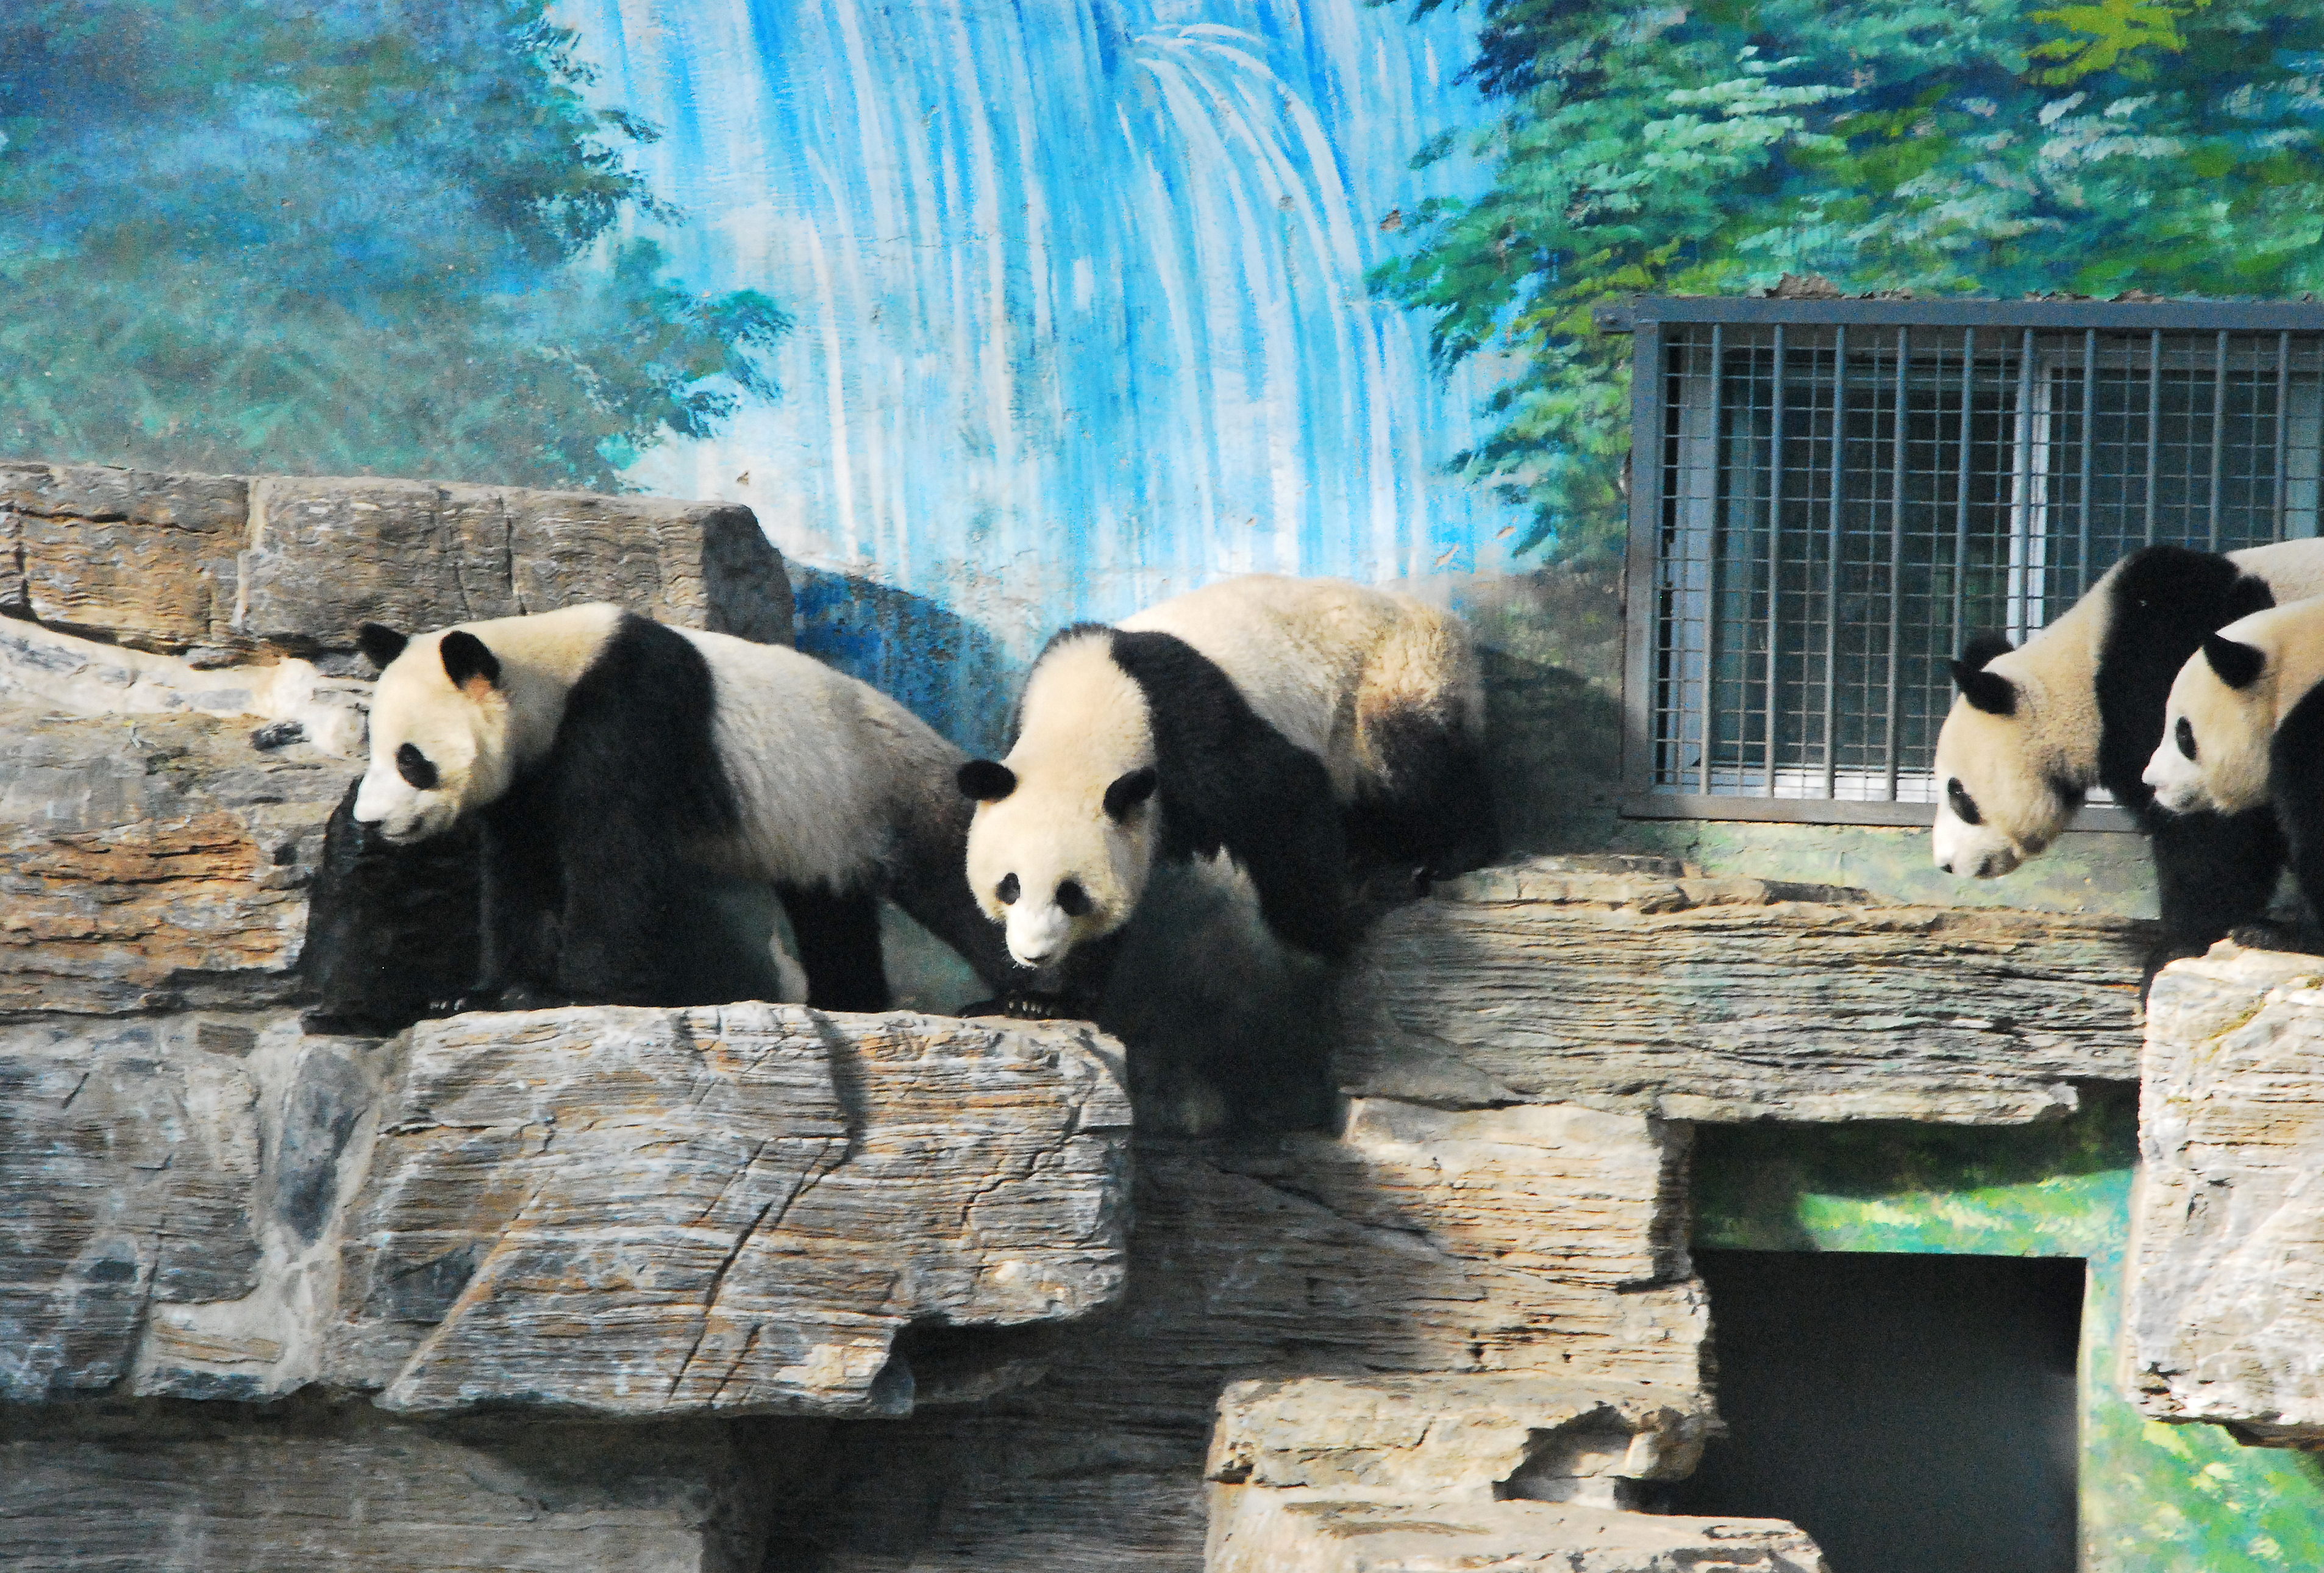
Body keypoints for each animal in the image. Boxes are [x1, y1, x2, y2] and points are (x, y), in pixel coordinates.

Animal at [351, 602, 1014, 1012]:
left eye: (411, 759)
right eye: (373, 746)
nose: (371, 822)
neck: (552, 672)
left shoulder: (631, 712)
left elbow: (613, 858)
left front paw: (576, 993)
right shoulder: (528, 780)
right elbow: (519, 872)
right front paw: (483, 993)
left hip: (896, 790)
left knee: (961, 886)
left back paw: (1023, 997)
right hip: (829, 827)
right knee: (832, 913)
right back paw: (848, 999)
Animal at [954, 574, 1495, 1012]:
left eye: (1071, 895)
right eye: (1010, 886)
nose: (1033, 954)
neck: (1082, 718)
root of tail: (1452, 626)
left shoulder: (1186, 725)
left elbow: (1285, 797)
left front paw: (1321, 933)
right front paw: (1040, 1000)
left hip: (1392, 678)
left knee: (1413, 766)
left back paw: (1437, 856)